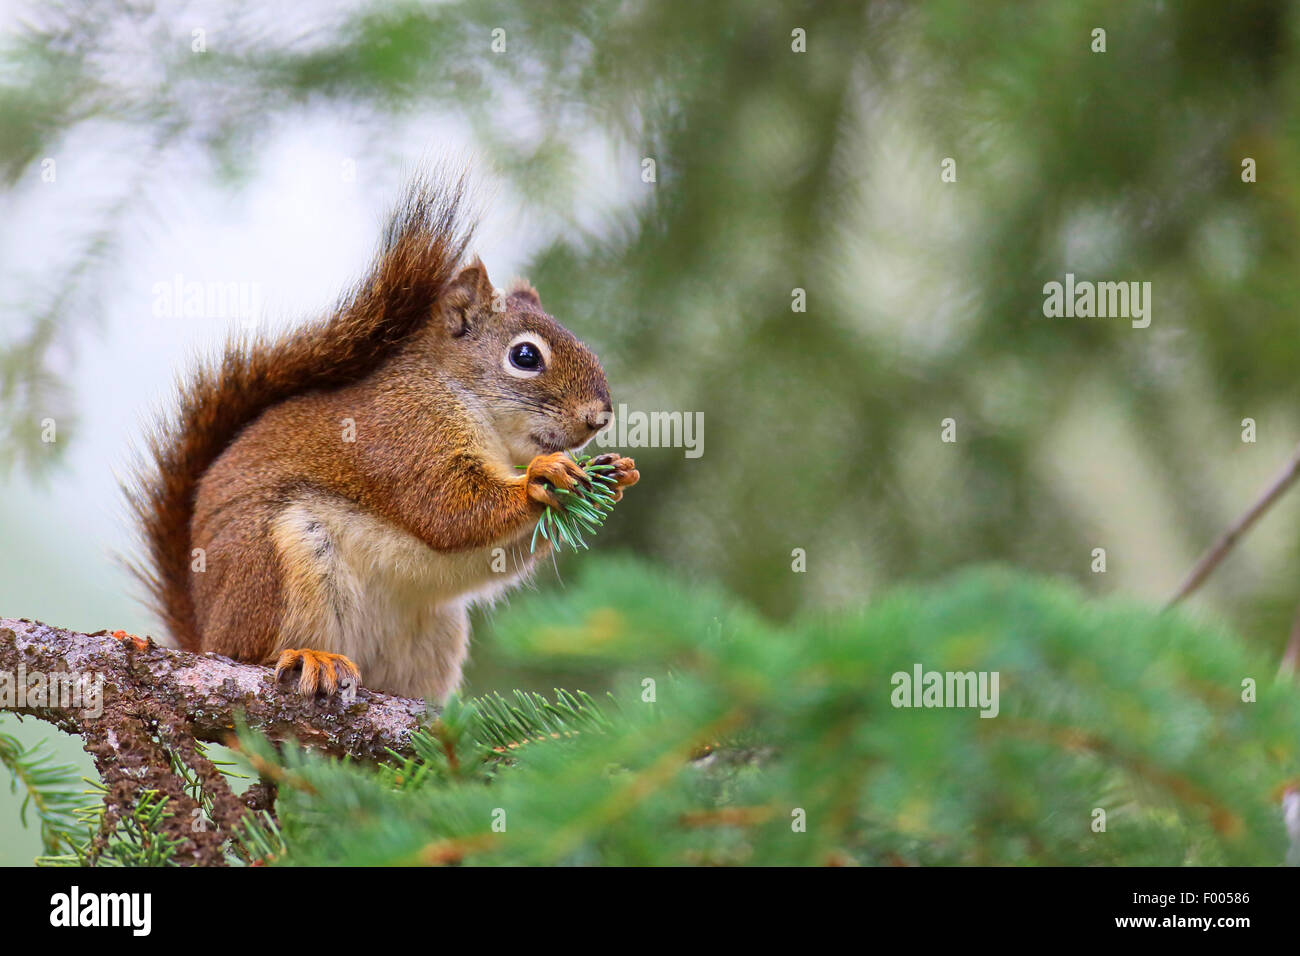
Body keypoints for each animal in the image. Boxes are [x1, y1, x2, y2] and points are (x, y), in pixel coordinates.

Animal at [124, 171, 639, 702]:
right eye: (525, 356)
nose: (600, 417)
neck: (457, 396)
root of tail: (204, 634)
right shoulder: (405, 434)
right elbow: (448, 508)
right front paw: (543, 475)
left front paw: (618, 474)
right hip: (273, 565)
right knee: (254, 655)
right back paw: (310, 658)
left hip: (435, 632)